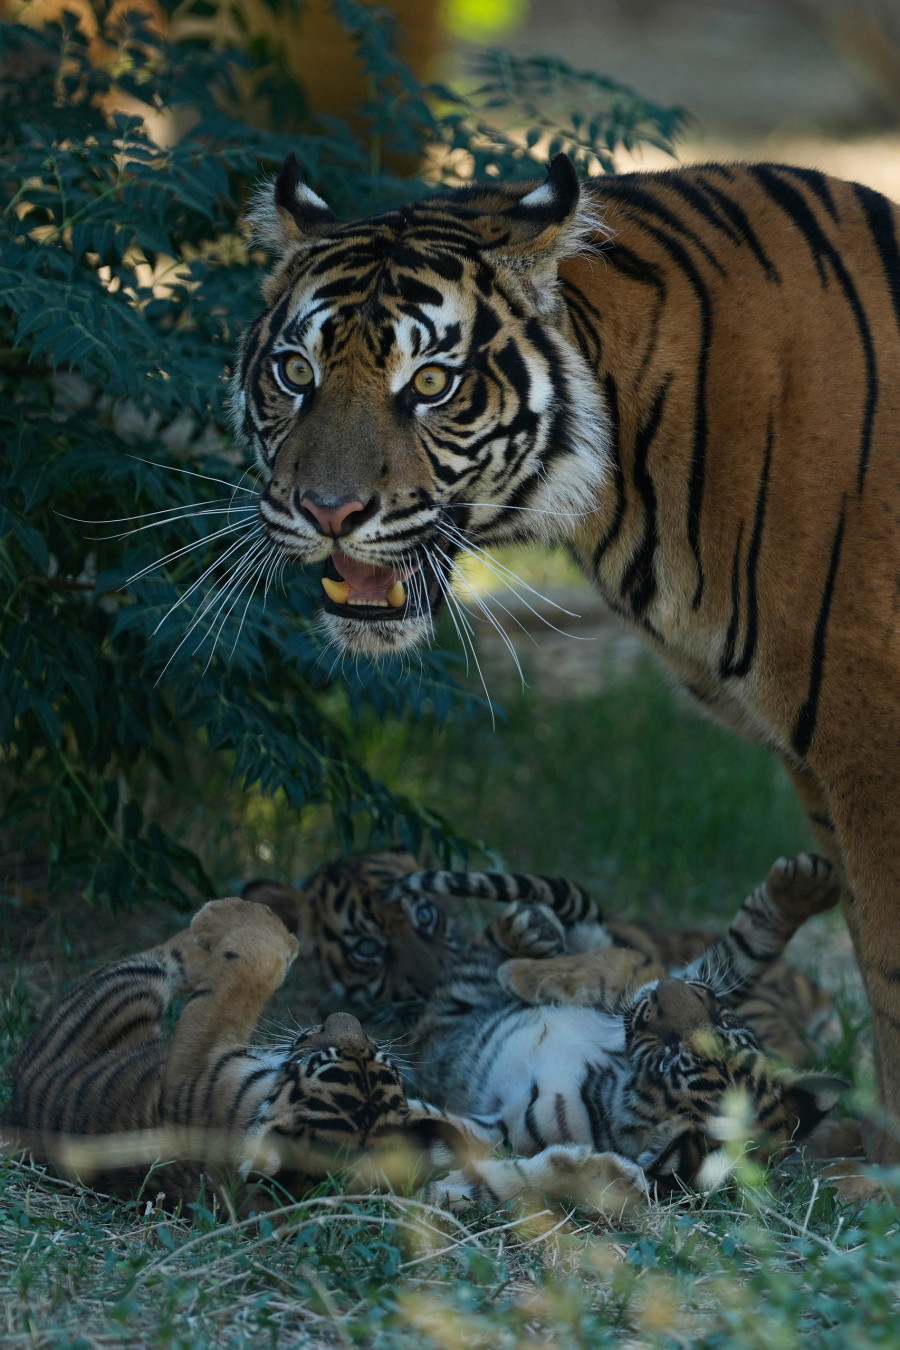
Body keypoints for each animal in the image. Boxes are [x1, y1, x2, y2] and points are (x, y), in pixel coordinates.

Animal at [0, 895, 648, 1219]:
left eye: (319, 1059)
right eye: (378, 1062)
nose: (337, 1020)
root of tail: (20, 1108)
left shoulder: (195, 1061)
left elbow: (254, 967)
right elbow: (500, 1175)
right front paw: (610, 1178)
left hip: (125, 990)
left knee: (166, 956)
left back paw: (208, 920)